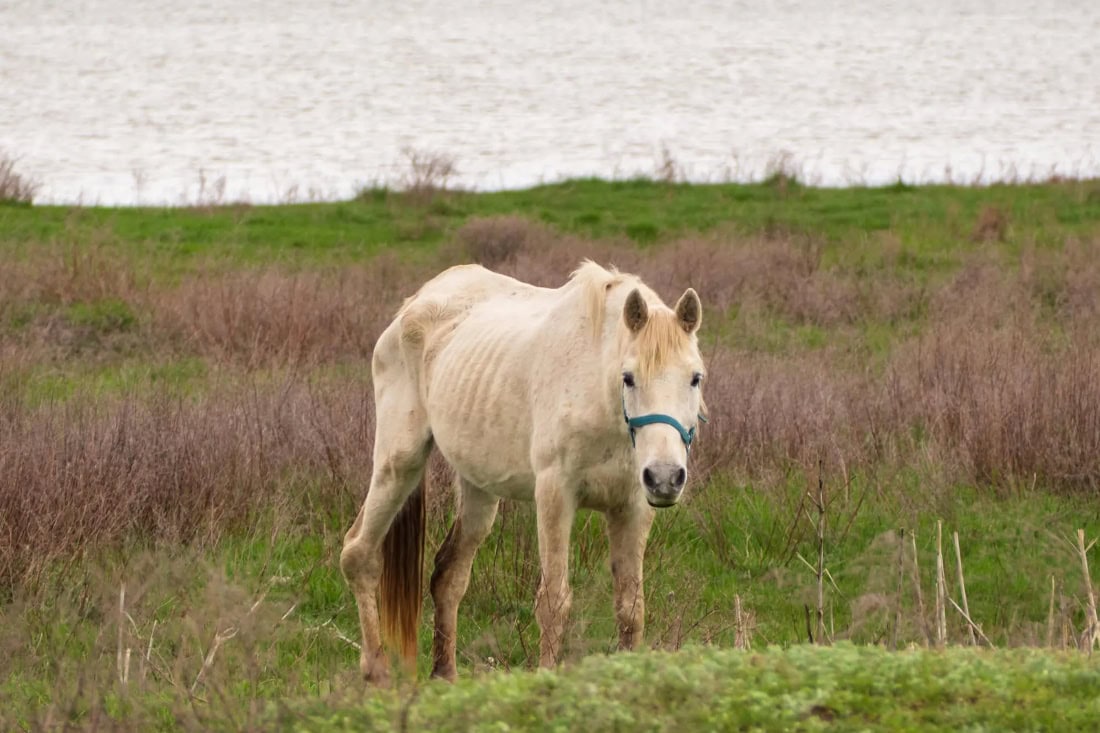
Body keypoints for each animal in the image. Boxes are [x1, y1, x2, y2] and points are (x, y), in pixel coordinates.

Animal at [340, 260, 707, 684]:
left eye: (695, 378)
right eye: (628, 378)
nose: (664, 477)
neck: (600, 395)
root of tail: (414, 303)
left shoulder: (633, 507)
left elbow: (631, 608)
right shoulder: (555, 495)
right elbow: (554, 602)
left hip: (478, 487)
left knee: (449, 576)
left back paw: (445, 676)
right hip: (399, 462)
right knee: (359, 554)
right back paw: (377, 672)